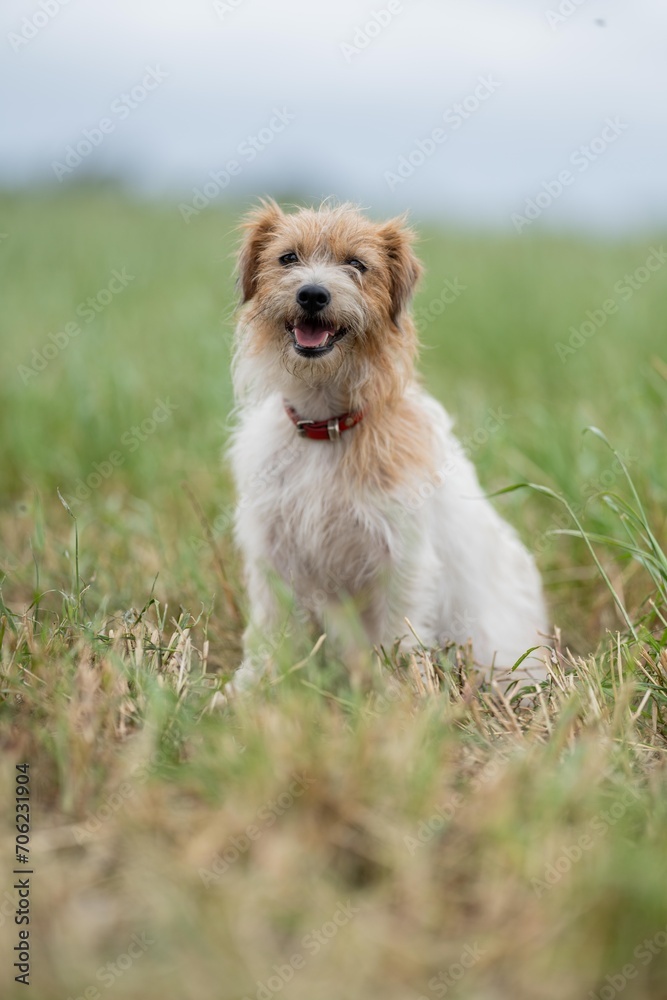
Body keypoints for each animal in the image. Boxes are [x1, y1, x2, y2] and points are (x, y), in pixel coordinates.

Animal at [228, 199, 548, 692]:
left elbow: (399, 636)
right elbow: (267, 631)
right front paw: (248, 691)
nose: (313, 294)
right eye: (287, 258)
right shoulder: (273, 551)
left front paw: (399, 695)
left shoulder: (403, 557)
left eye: (357, 264)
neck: (327, 425)